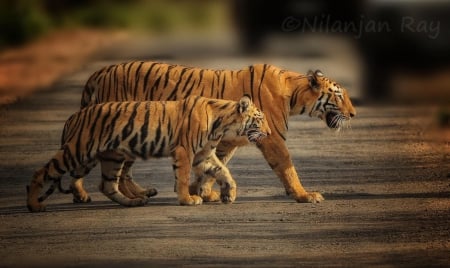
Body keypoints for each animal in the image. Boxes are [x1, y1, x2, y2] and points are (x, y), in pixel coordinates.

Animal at [26, 95, 270, 213]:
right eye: (259, 119)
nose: (268, 133)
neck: (223, 124)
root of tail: (73, 116)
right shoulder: (185, 151)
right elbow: (183, 178)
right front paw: (188, 200)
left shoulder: (203, 154)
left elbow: (223, 171)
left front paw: (229, 194)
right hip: (77, 151)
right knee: (40, 173)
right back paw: (34, 206)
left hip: (110, 157)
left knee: (107, 185)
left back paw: (134, 202)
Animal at [78, 61, 358, 204]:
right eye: (339, 96)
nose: (354, 114)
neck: (294, 94)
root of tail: (98, 72)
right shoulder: (272, 139)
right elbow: (287, 167)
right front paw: (304, 194)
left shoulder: (225, 142)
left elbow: (214, 167)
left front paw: (200, 191)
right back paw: (89, 195)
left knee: (121, 171)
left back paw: (137, 194)